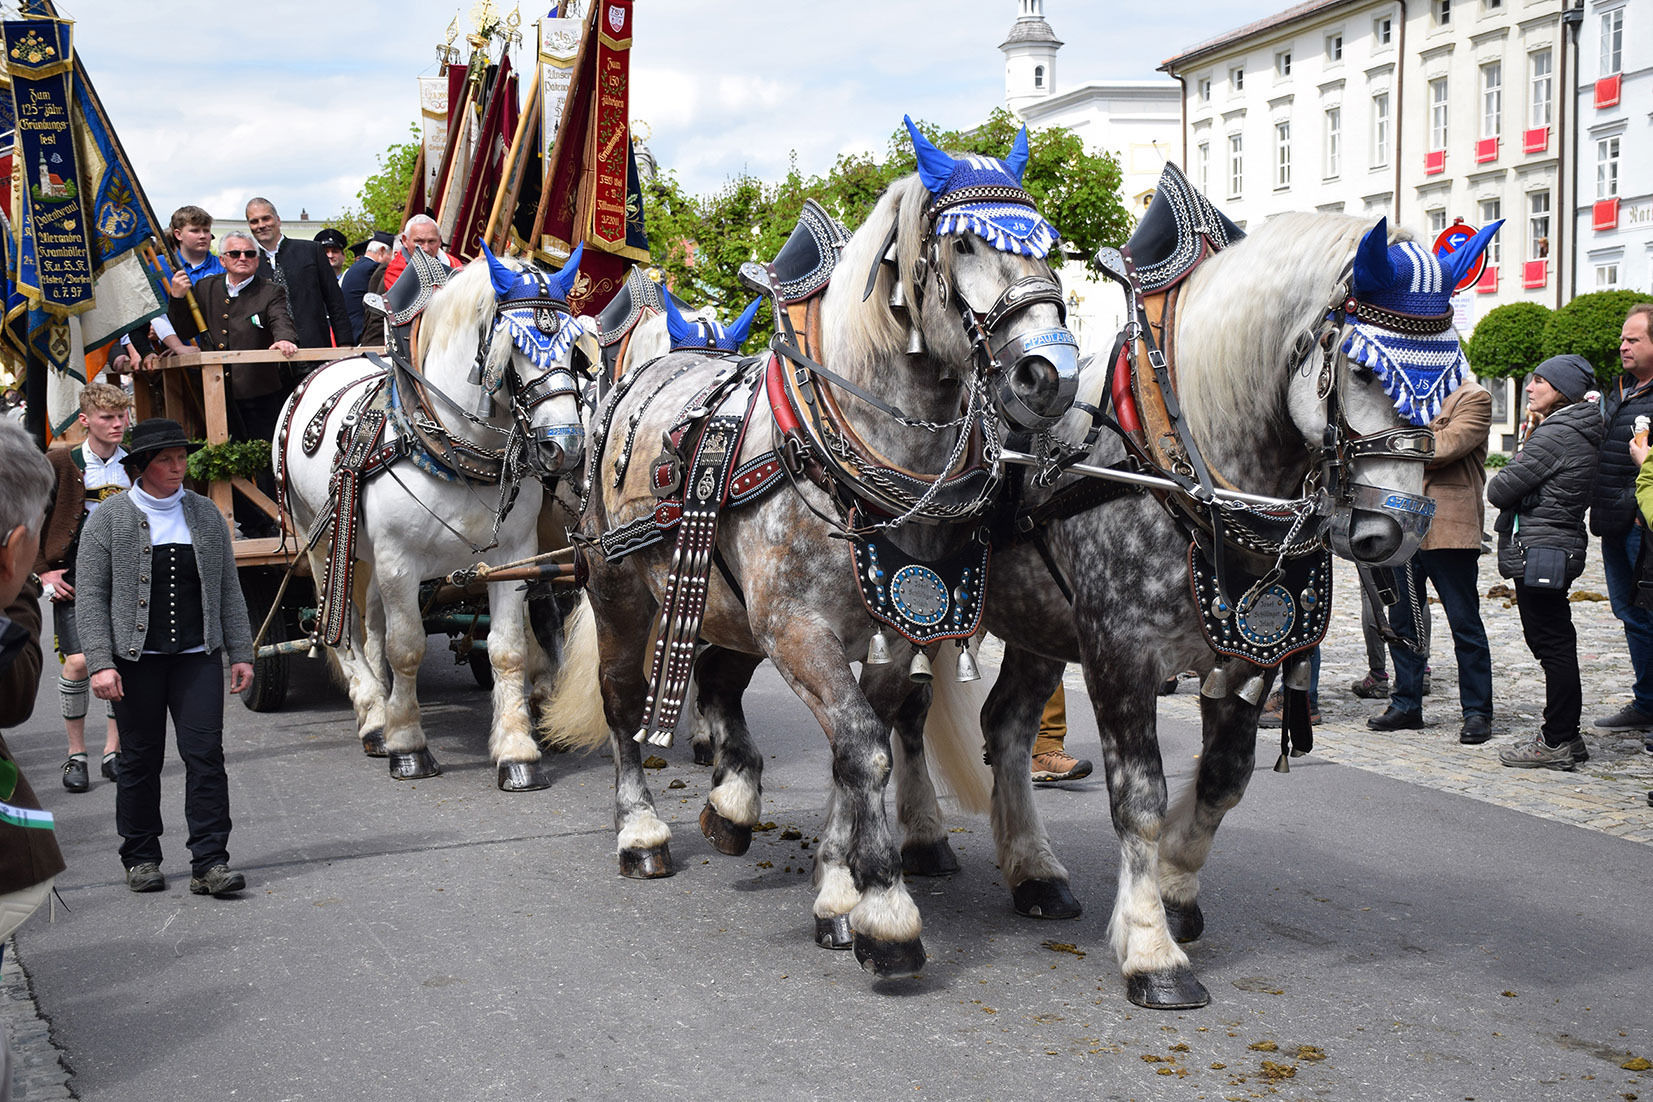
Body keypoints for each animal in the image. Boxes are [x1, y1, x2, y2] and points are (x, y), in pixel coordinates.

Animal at [281, 247, 591, 793]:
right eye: (515, 346)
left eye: (574, 350)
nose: (566, 447)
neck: (452, 449)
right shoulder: (399, 560)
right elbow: (407, 648)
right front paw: (407, 745)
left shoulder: (513, 557)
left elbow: (507, 649)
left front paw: (517, 752)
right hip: (322, 541)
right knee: (341, 627)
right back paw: (374, 716)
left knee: (372, 624)